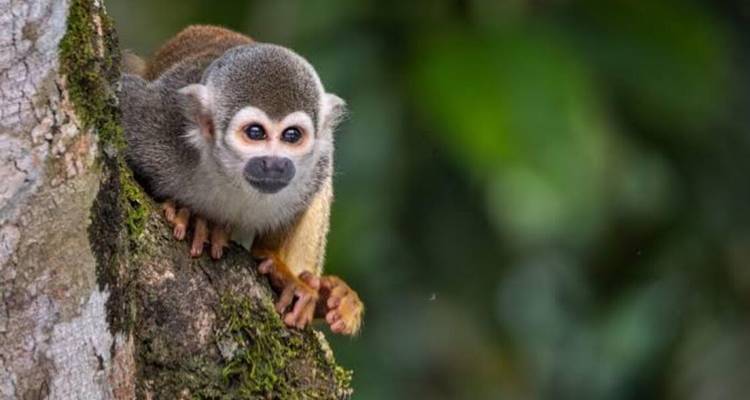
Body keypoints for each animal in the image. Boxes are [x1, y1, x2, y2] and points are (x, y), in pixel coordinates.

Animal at [119, 25, 362, 335]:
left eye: (292, 135)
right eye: (255, 132)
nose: (275, 165)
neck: (228, 174)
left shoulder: (317, 161)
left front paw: (277, 266)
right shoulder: (155, 126)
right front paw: (194, 219)